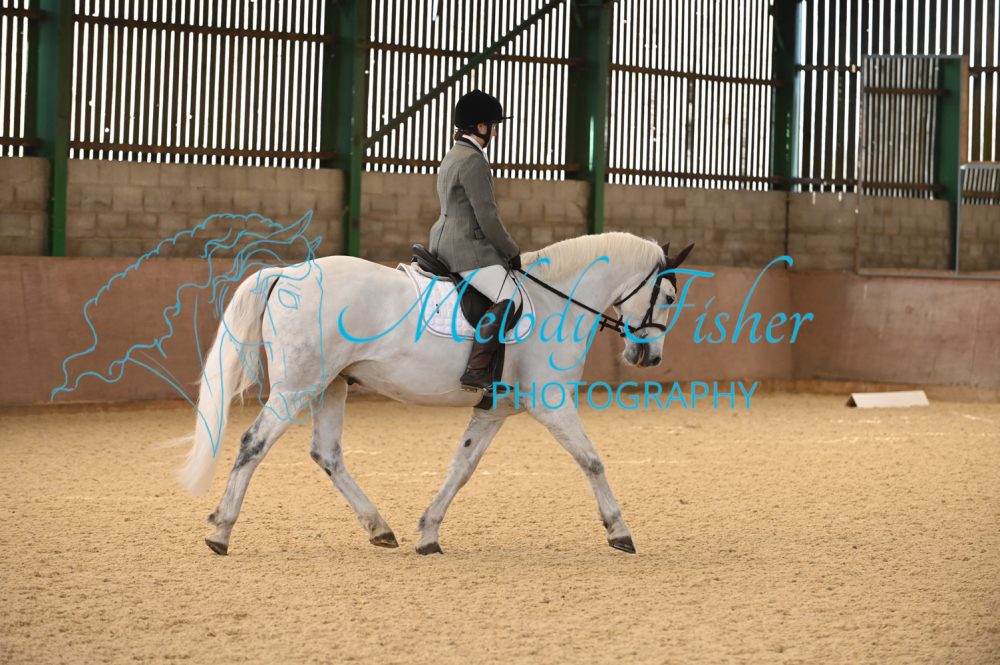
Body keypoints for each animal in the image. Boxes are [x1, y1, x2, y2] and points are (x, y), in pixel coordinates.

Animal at [178, 231, 694, 556]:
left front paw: (428, 533)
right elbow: (592, 461)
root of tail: (287, 274)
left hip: (330, 386)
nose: (648, 358)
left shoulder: (493, 411)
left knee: (327, 454)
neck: (556, 300)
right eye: (669, 298)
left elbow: (461, 468)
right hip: (297, 387)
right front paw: (619, 531)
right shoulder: (550, 403)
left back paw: (380, 529)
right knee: (254, 444)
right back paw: (221, 531)